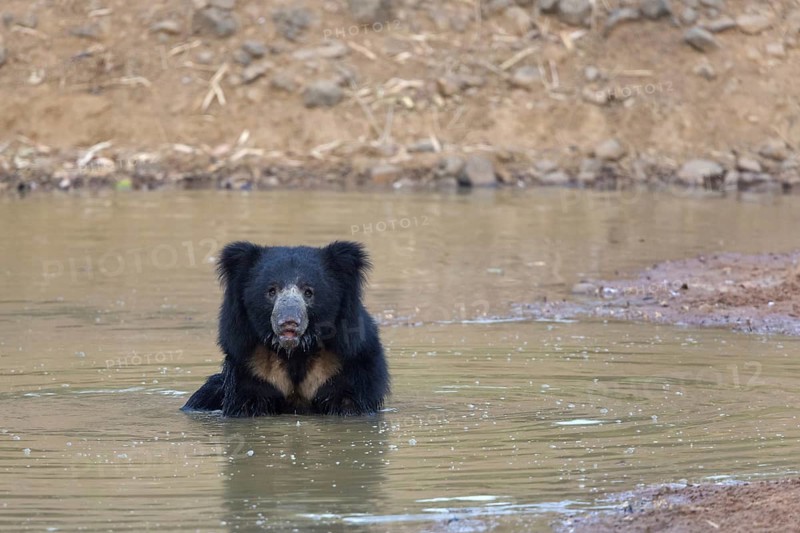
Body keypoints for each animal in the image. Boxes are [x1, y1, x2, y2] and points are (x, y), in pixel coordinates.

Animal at [182, 240, 389, 417]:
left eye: (308, 292)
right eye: (271, 291)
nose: (289, 322)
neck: (294, 352)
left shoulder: (345, 364)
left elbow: (349, 401)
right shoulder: (252, 366)